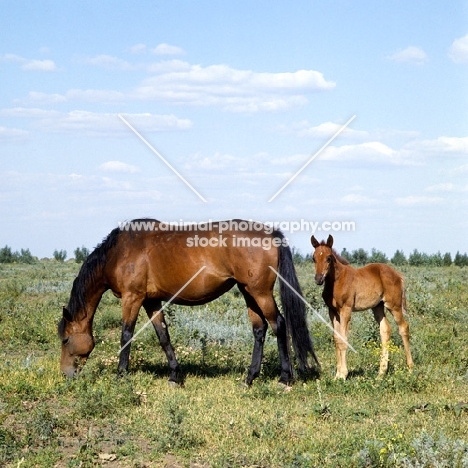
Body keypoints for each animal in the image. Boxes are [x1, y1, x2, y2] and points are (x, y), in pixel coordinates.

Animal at [56, 221, 320, 386]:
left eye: (66, 339)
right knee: (260, 329)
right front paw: (174, 376)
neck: (119, 252)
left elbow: (126, 335)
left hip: (261, 293)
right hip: (248, 292)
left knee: (279, 325)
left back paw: (284, 379)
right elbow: (163, 335)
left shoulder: (133, 298)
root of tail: (270, 234)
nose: (66, 374)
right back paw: (249, 378)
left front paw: (121, 374)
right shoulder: (151, 301)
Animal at [310, 236, 414, 378]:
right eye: (313, 258)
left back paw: (410, 368)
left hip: (394, 305)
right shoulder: (332, 312)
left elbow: (343, 339)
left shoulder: (346, 310)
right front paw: (337, 375)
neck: (337, 281)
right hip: (377, 307)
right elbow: (337, 339)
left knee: (403, 327)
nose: (318, 279)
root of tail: (398, 275)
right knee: (385, 330)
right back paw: (381, 373)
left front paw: (343, 374)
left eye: (329, 258)